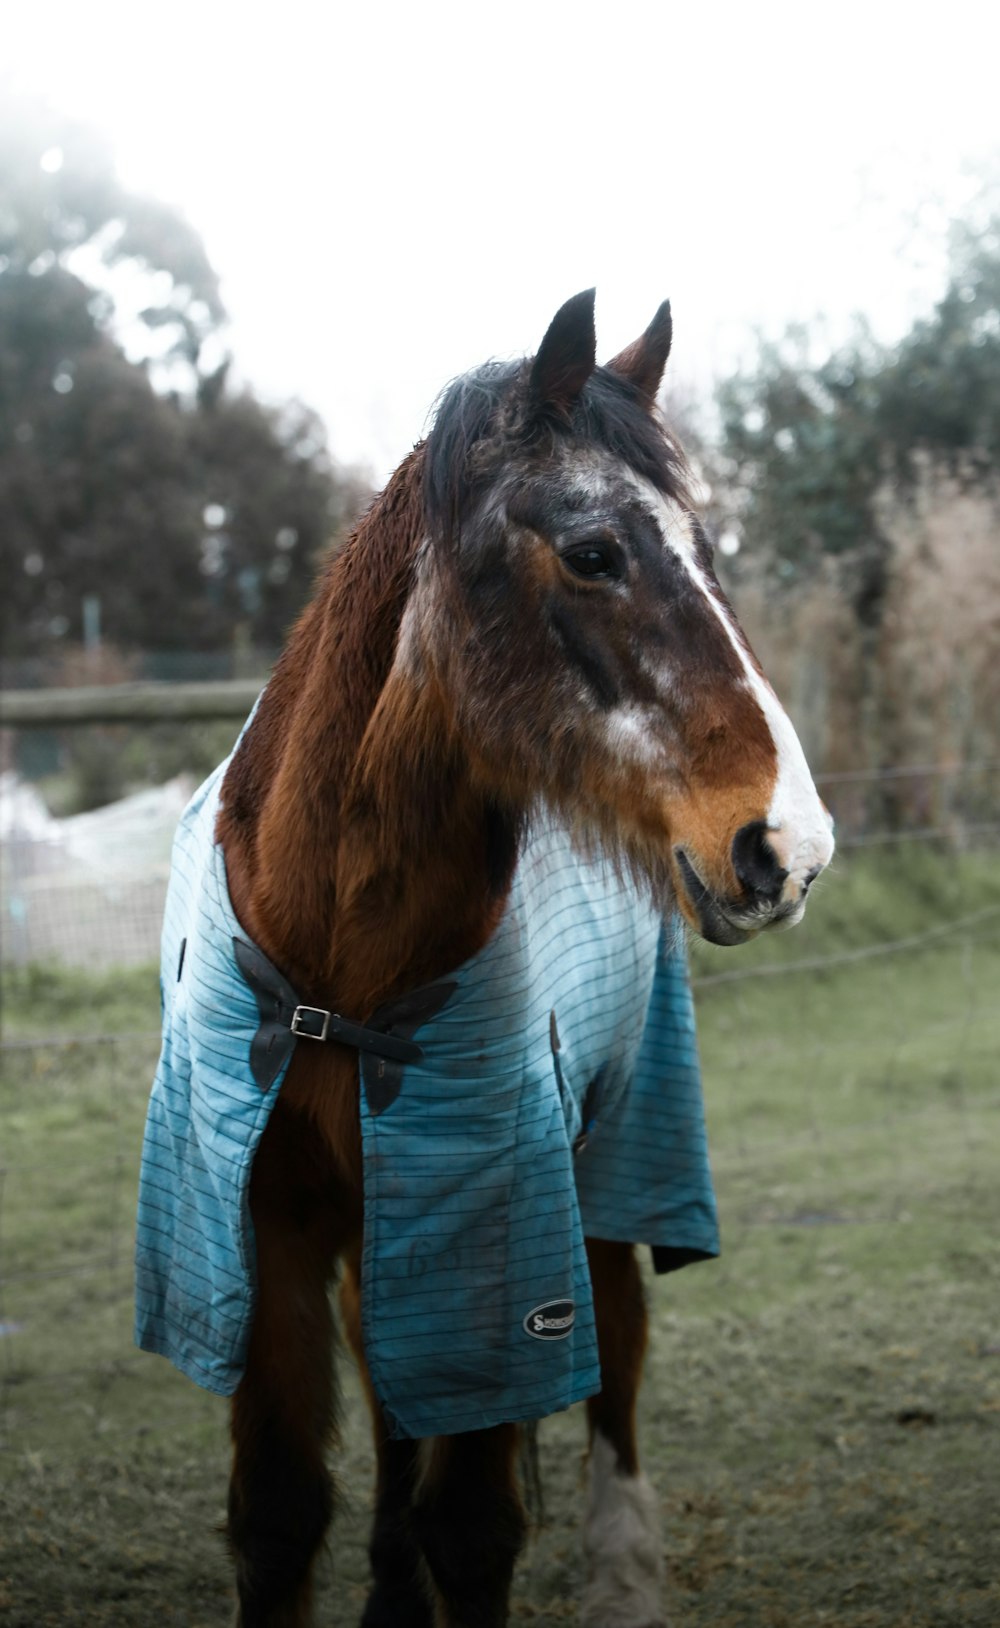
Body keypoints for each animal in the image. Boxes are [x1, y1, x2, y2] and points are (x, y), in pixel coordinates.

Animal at [135, 286, 840, 1621]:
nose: (790, 843)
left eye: (709, 550)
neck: (338, 977)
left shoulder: (495, 1229)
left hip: (612, 1153)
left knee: (615, 1352)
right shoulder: (263, 1226)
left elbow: (469, 1521)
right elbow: (281, 1511)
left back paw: (622, 1569)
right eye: (594, 552)